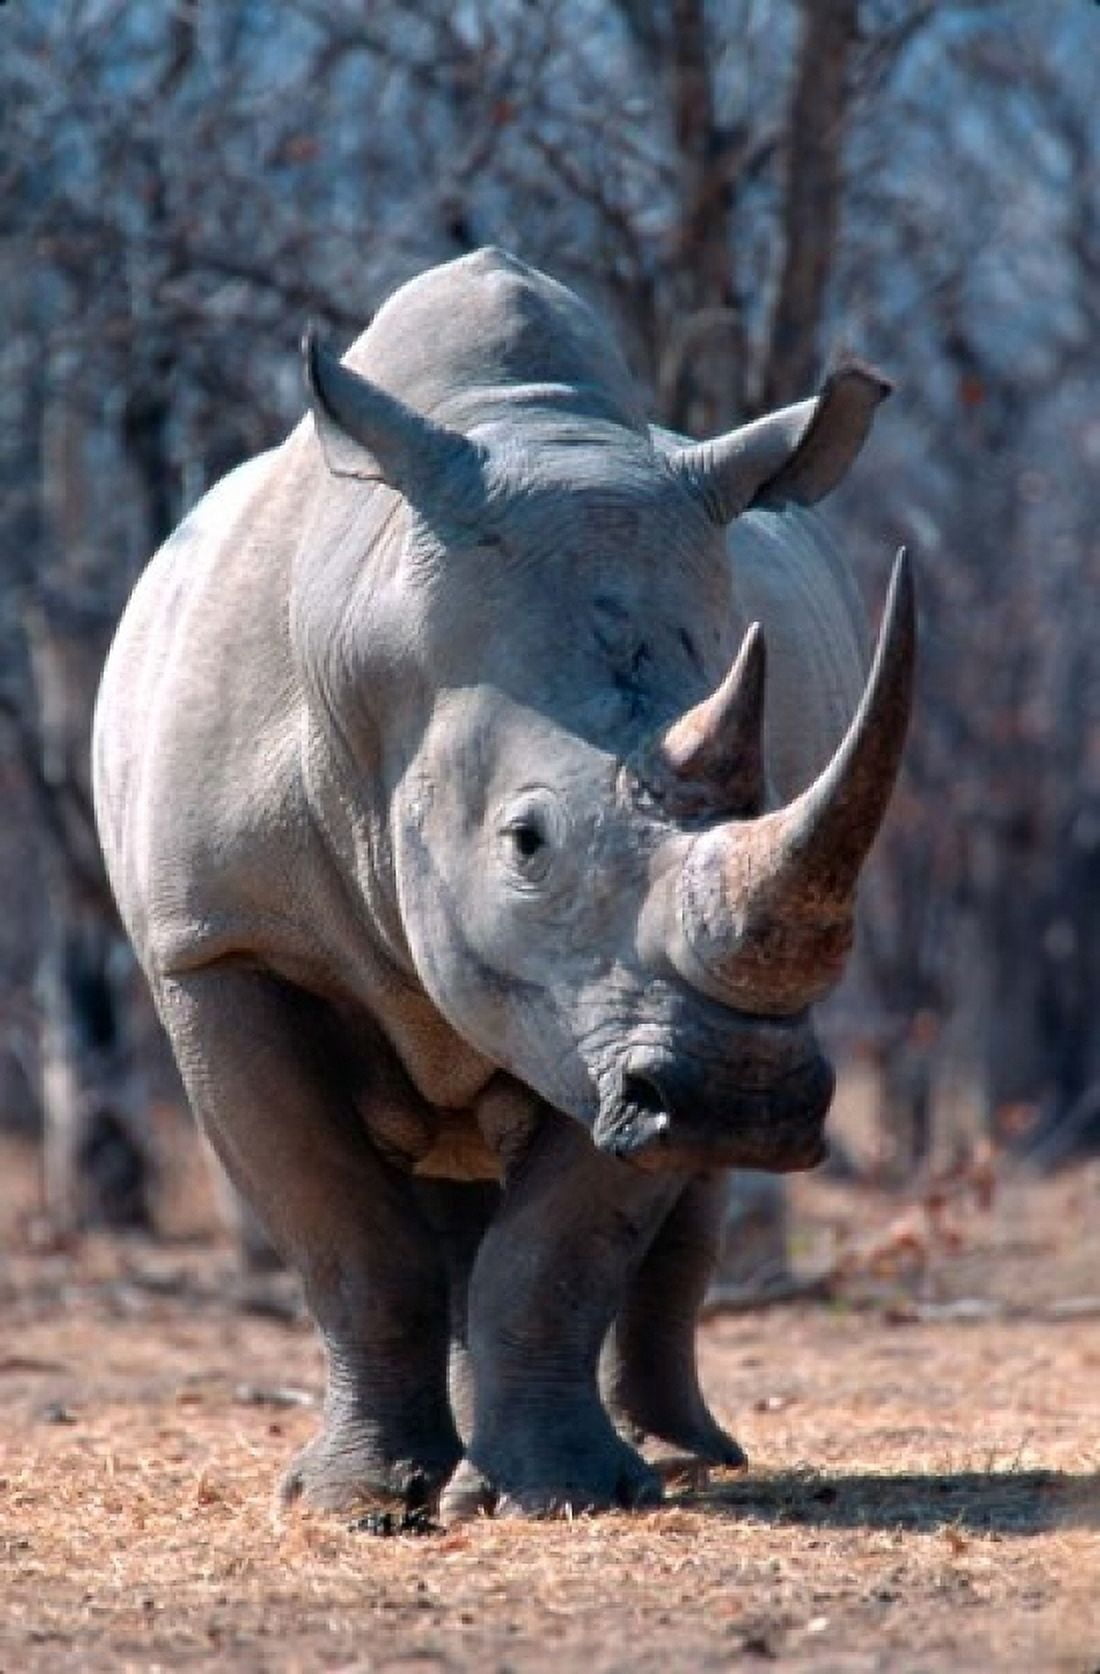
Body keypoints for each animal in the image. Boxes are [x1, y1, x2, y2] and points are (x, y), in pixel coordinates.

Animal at [93, 248, 913, 1521]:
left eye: (765, 794)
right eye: (525, 842)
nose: (740, 1097)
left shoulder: (601, 1001)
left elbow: (561, 1248)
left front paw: (558, 1496)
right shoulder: (218, 941)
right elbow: (343, 1230)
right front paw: (353, 1506)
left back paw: (667, 1460)